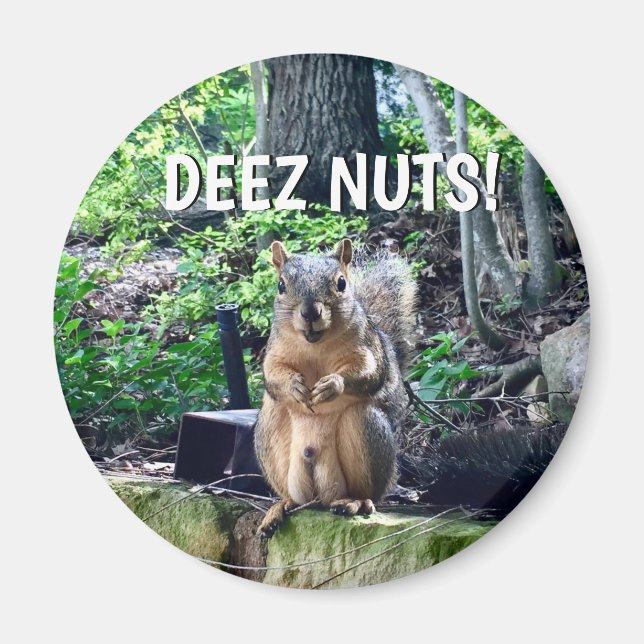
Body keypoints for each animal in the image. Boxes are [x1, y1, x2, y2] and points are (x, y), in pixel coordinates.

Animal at [254, 238, 417, 538]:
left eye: (341, 283)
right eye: (281, 285)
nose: (310, 312)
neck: (315, 344)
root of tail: (321, 496)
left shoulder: (367, 348)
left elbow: (370, 373)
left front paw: (332, 385)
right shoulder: (274, 352)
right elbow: (273, 376)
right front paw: (294, 385)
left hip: (366, 429)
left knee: (367, 493)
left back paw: (355, 502)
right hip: (270, 432)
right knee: (294, 499)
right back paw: (279, 508)